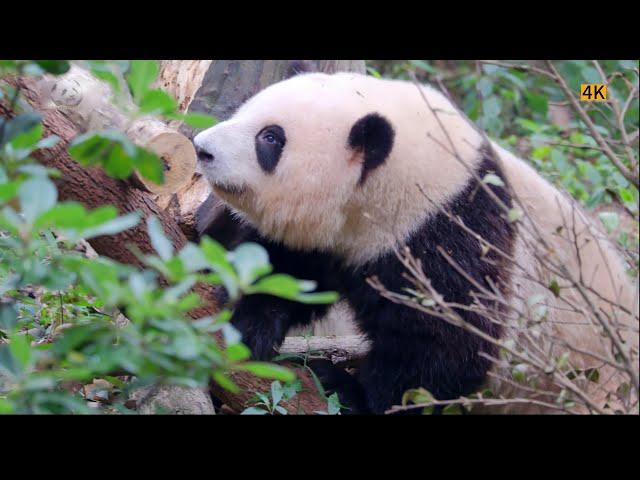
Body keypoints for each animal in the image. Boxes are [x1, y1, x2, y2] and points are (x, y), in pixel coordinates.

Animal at [192, 70, 636, 412]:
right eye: (245, 107)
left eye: (270, 138)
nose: (201, 148)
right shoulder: (334, 236)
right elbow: (292, 270)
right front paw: (250, 324)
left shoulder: (453, 232)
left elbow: (450, 343)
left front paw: (346, 390)